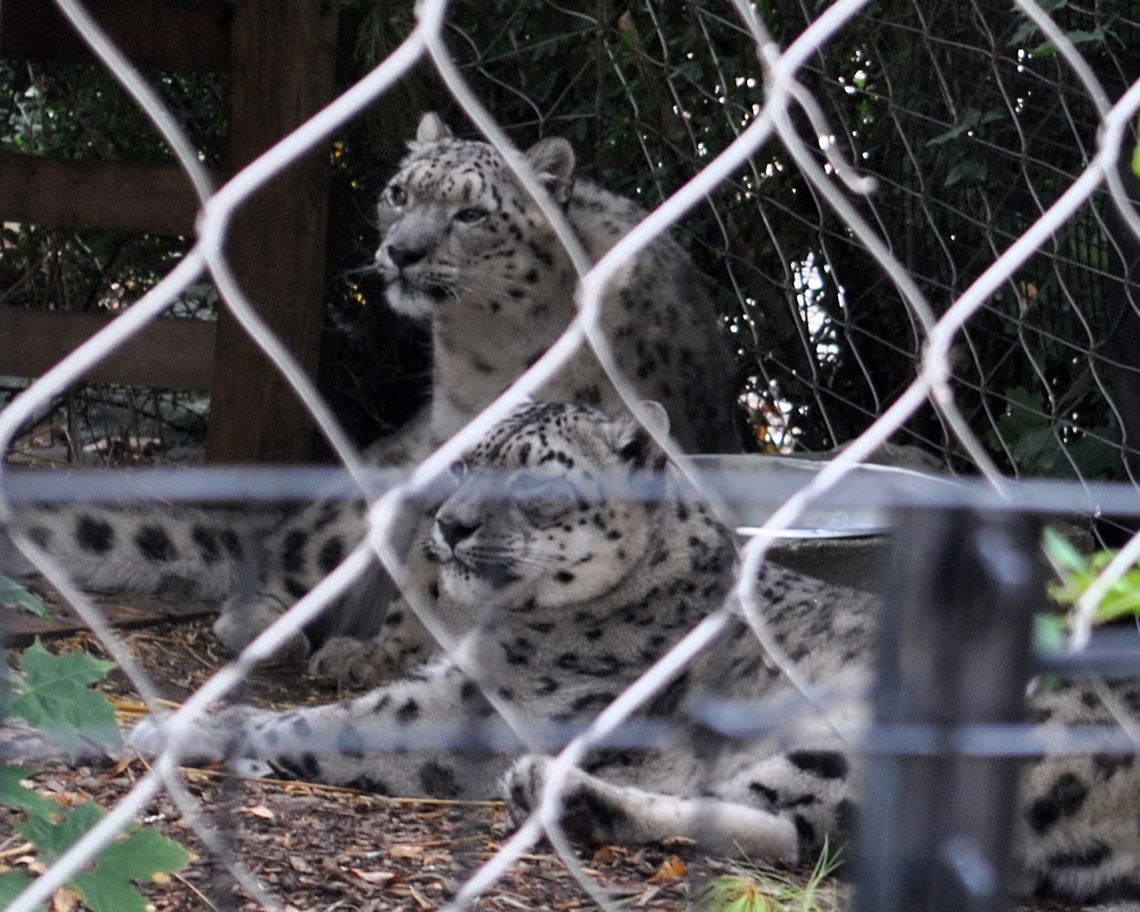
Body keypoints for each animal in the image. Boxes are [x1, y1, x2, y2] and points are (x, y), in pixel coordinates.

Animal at [117, 400, 1140, 907]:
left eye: (533, 479)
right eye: (466, 458)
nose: (449, 525)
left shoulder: (471, 705)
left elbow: (323, 724)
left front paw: (169, 729)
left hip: (863, 736)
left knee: (786, 826)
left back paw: (560, 790)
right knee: (781, 827)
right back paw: (566, 797)